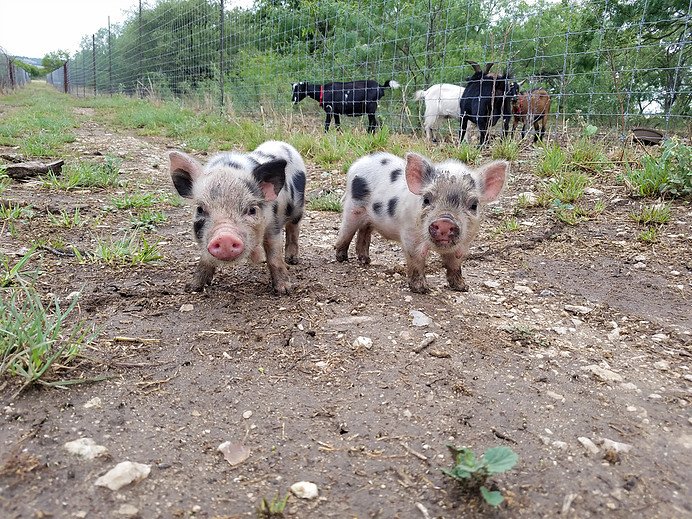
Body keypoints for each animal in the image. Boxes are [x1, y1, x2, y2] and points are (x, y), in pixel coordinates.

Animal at [169, 140, 307, 294]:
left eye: (251, 210)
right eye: (200, 209)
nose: (225, 238)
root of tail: (280, 143)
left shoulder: (273, 225)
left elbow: (274, 256)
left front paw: (284, 290)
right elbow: (205, 259)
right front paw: (192, 287)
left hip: (298, 207)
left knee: (293, 228)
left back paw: (292, 260)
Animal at [335, 152, 508, 293]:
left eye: (473, 205)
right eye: (426, 199)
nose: (445, 221)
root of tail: (358, 163)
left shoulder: (464, 243)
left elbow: (455, 264)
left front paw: (463, 287)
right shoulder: (411, 236)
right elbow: (416, 260)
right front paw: (422, 289)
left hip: (369, 218)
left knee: (364, 231)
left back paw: (366, 260)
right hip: (353, 208)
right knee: (346, 231)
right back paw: (342, 258)